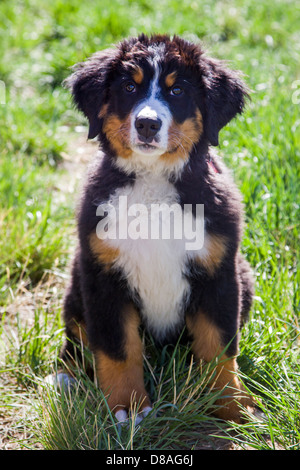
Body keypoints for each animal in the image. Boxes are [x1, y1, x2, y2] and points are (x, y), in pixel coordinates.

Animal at [54, 33, 255, 422]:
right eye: (130, 87)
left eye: (177, 91)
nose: (148, 124)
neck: (152, 181)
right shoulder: (104, 276)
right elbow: (118, 349)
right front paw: (128, 407)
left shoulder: (219, 273)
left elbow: (219, 347)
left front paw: (231, 406)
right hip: (76, 284)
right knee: (78, 336)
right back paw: (67, 375)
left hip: (245, 278)